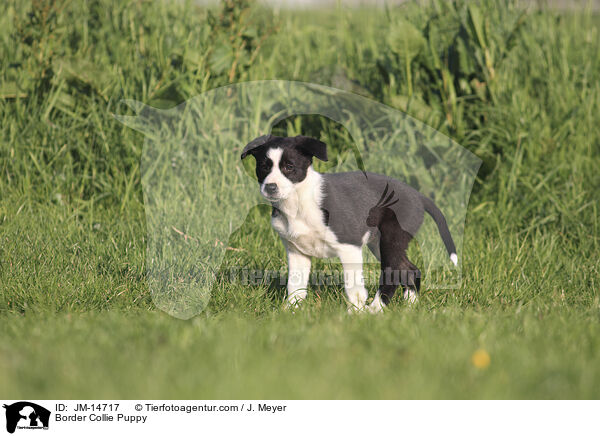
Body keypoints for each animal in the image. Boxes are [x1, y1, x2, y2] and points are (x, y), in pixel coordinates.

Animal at [241, 135, 458, 312]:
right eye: (263, 167)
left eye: (289, 167)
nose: (271, 187)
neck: (298, 202)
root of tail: (418, 196)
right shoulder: (296, 251)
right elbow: (295, 285)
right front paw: (290, 311)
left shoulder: (349, 246)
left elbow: (353, 287)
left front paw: (355, 314)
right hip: (380, 243)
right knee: (410, 270)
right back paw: (410, 307)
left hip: (391, 238)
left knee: (393, 274)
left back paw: (375, 310)